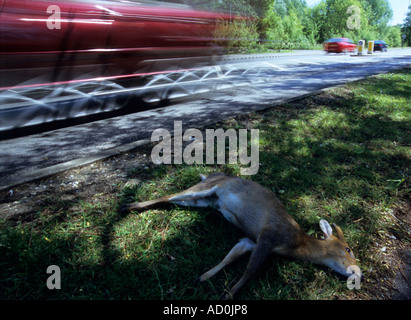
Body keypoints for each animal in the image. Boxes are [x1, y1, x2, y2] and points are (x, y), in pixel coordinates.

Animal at [124, 172, 362, 300]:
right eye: (348, 249)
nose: (358, 273)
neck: (294, 243)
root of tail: (209, 174)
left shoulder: (250, 240)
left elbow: (230, 257)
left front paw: (204, 277)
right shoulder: (268, 235)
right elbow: (251, 269)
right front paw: (228, 295)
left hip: (204, 201)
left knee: (174, 200)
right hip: (205, 188)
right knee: (169, 195)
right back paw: (128, 206)